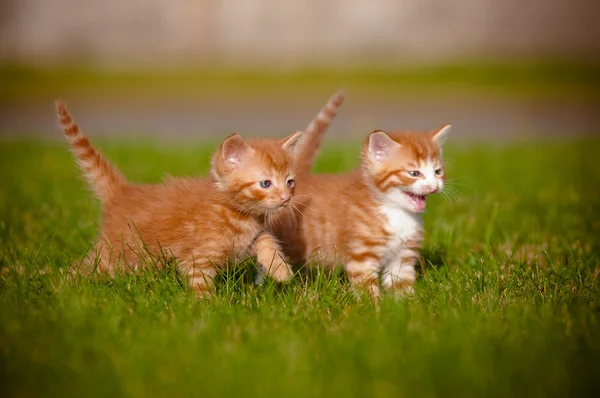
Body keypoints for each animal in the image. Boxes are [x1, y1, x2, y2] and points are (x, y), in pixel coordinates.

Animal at [56, 101, 304, 296]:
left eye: (290, 182)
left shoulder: (247, 240)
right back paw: (60, 286)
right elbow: (200, 283)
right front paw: (208, 309)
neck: (238, 215)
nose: (285, 198)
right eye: (266, 183)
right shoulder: (196, 259)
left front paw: (280, 269)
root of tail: (123, 191)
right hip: (113, 254)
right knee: (85, 267)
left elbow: (266, 239)